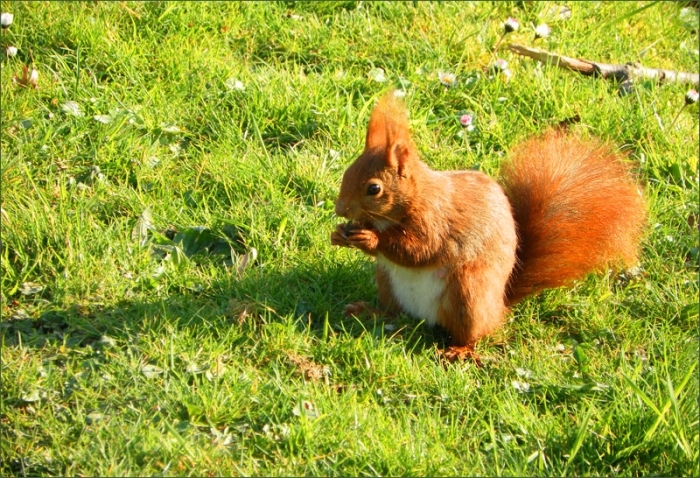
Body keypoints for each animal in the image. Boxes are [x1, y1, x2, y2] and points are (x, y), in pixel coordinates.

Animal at [330, 92, 646, 361]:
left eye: (374, 189)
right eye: (347, 173)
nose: (340, 209)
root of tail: (500, 305)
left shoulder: (436, 221)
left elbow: (419, 250)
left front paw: (370, 238)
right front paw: (340, 234)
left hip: (469, 293)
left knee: (474, 333)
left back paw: (459, 350)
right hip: (388, 282)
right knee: (394, 314)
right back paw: (368, 312)